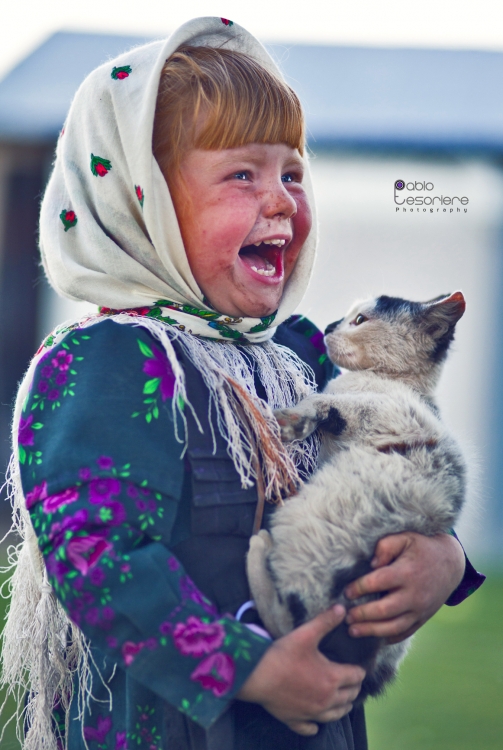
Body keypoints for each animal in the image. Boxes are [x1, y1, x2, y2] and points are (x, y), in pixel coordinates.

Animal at [248, 292, 468, 700]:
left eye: (361, 319)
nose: (329, 326)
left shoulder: (395, 416)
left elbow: (329, 402)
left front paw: (295, 418)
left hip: (310, 528)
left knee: (292, 624)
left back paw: (259, 547)